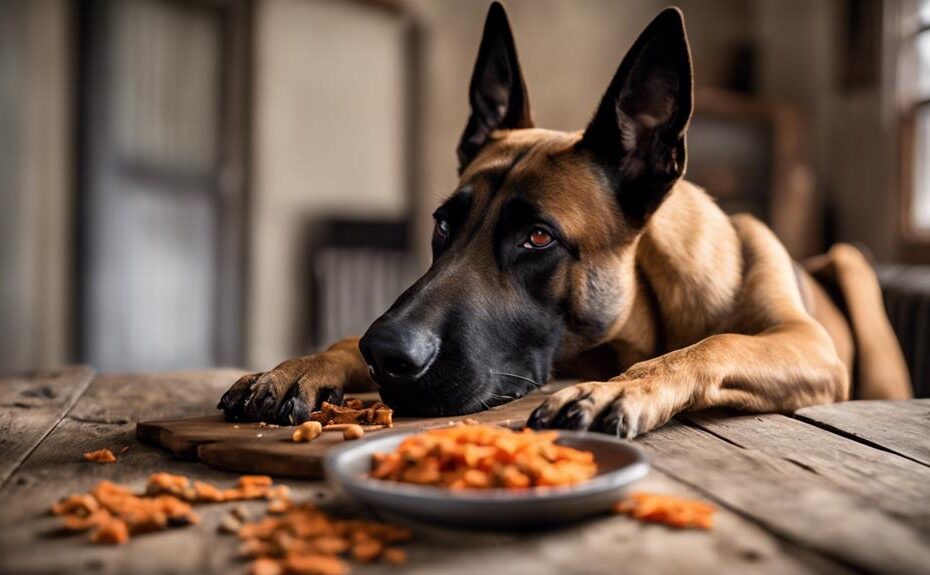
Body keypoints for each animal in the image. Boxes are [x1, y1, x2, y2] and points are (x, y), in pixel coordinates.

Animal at [218, 2, 908, 438]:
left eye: (538, 237)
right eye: (441, 226)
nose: (385, 351)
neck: (645, 309)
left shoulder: (808, 344)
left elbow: (719, 342)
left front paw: (624, 389)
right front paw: (306, 364)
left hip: (852, 270)